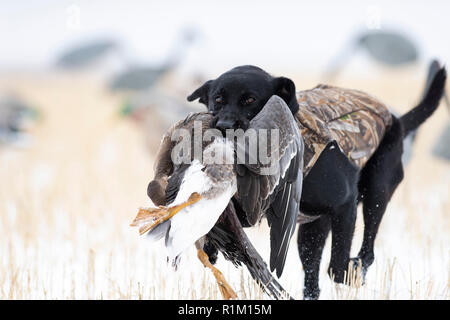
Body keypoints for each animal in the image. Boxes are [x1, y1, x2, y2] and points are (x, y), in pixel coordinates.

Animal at [185, 63, 446, 298]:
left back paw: (359, 267)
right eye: (218, 99)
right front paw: (210, 243)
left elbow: (337, 267)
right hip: (312, 230)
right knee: (313, 278)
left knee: (368, 247)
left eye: (250, 99)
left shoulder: (345, 204)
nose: (224, 126)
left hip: (377, 190)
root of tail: (394, 118)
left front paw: (352, 271)